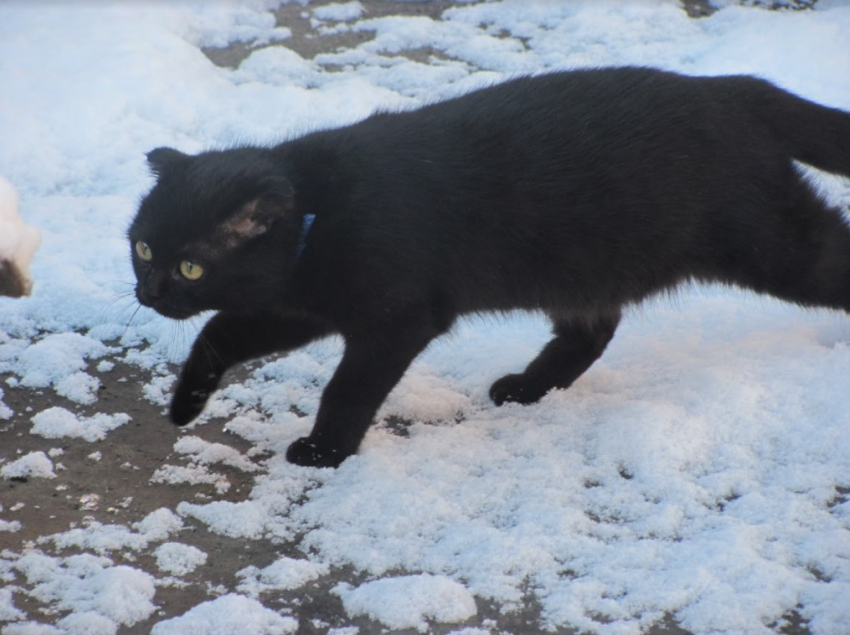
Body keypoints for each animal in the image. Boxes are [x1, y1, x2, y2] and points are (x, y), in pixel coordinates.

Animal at [131, 68, 848, 468]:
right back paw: (528, 388)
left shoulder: (396, 317)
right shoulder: (299, 306)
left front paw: (325, 452)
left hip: (770, 242)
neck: (317, 213)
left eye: (190, 266)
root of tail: (729, 89)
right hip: (581, 266)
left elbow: (348, 389)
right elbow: (218, 331)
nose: (147, 293)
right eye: (140, 248)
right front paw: (185, 405)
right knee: (592, 330)